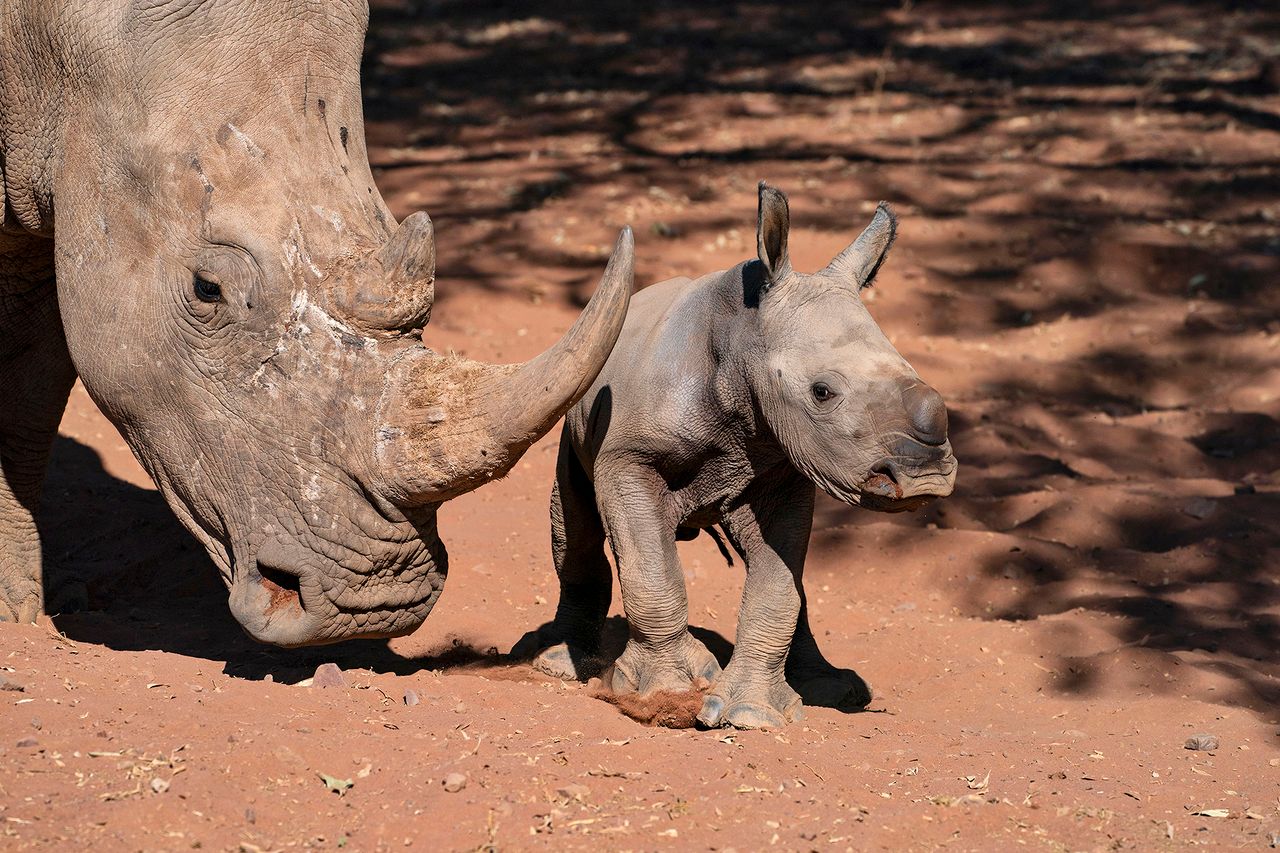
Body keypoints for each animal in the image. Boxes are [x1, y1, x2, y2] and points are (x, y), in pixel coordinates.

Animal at [517, 183, 952, 727]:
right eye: (823, 392)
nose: (925, 478)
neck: (742, 342)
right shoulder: (627, 458)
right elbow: (651, 571)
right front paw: (664, 692)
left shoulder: (788, 468)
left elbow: (780, 584)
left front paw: (751, 714)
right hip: (574, 408)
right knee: (575, 527)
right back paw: (558, 664)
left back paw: (833, 688)